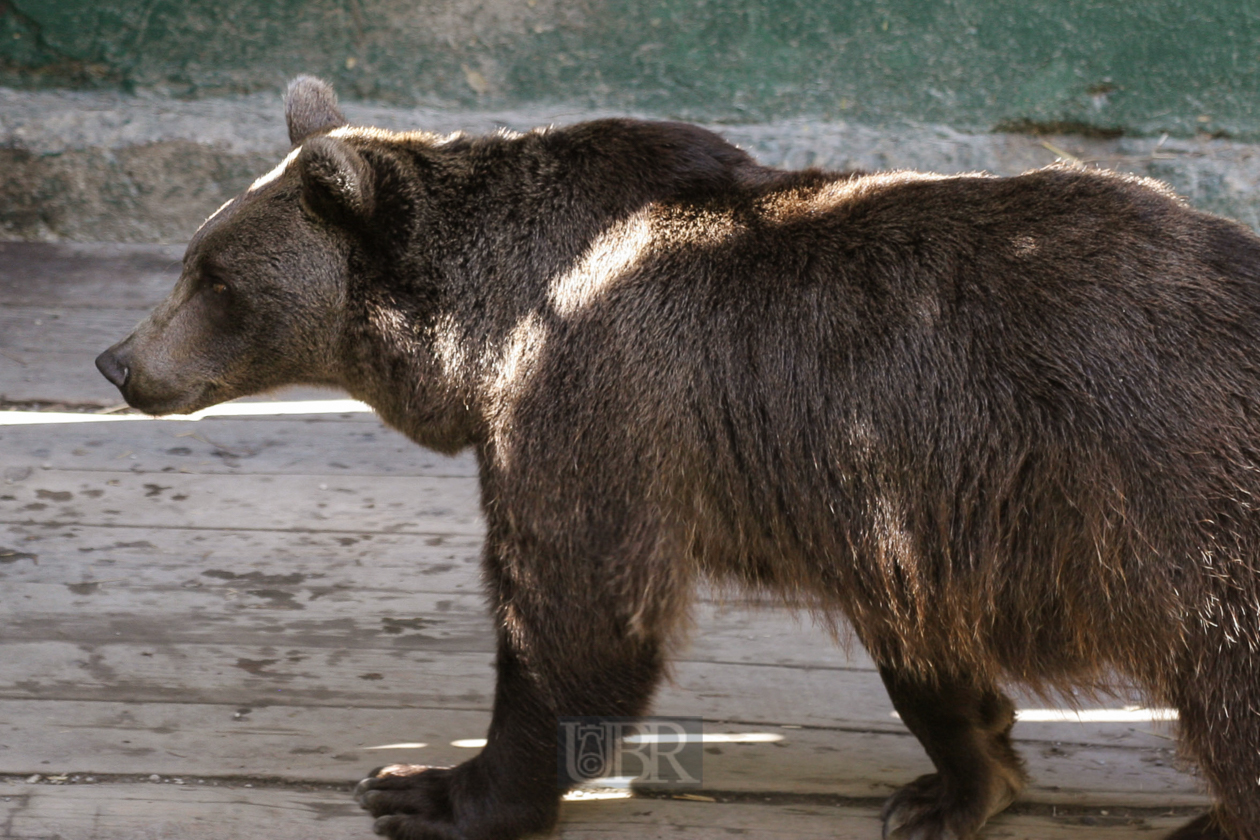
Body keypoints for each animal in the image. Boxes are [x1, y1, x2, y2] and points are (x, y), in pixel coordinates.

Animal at [95, 75, 1260, 836]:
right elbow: (923, 658)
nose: (117, 360)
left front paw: (432, 787)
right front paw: (957, 779)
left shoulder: (593, 403)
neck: (479, 333)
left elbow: (575, 615)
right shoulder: (899, 509)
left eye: (214, 278)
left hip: (1191, 513)